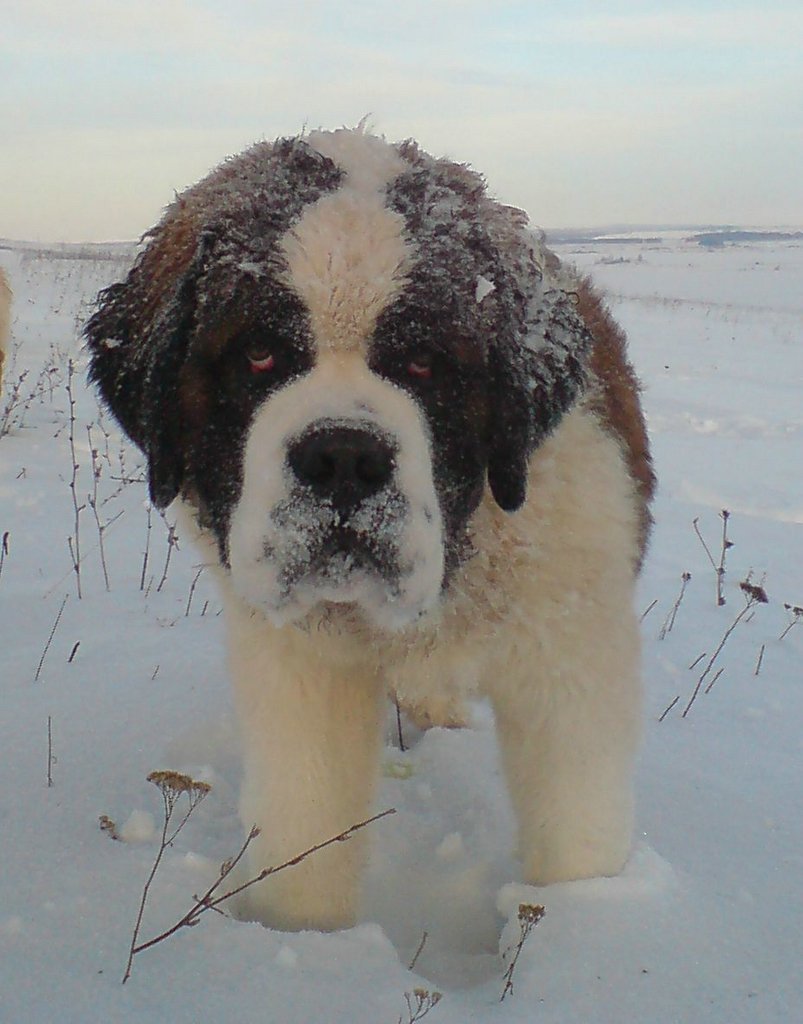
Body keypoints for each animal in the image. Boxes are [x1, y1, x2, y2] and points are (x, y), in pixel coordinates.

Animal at [86, 123, 651, 933]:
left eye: (422, 362)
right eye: (258, 353)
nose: (343, 459)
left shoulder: (571, 653)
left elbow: (577, 826)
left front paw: (586, 929)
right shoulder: (302, 669)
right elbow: (307, 827)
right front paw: (311, 941)